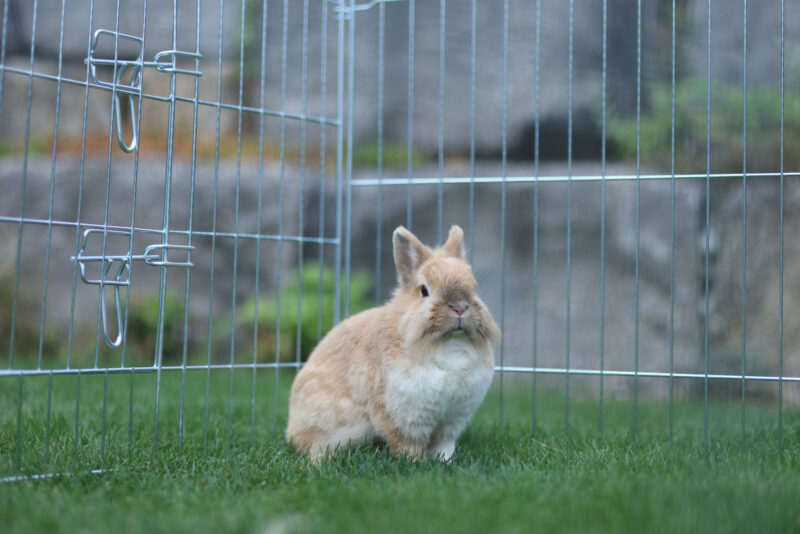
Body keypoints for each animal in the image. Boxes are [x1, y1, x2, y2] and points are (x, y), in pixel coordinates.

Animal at [288, 224, 500, 462]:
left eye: (473, 286)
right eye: (424, 290)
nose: (460, 307)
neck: (447, 345)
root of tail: (292, 430)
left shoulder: (452, 419)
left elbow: (445, 445)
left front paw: (445, 461)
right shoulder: (403, 416)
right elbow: (409, 444)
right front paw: (415, 463)